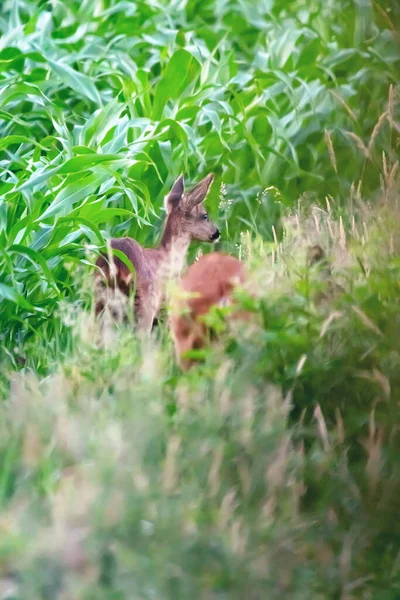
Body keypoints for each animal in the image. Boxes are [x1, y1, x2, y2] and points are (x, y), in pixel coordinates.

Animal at [95, 173, 220, 332]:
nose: (217, 233)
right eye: (205, 215)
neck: (168, 256)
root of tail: (117, 264)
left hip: (100, 299)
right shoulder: (169, 302)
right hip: (145, 302)